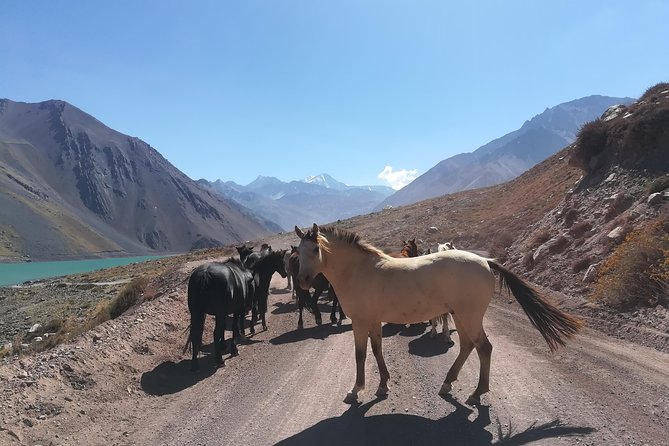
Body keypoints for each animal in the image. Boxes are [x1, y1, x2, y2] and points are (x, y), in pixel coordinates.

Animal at [292, 223, 580, 404]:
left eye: (315, 249)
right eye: (298, 252)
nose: (303, 281)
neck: (359, 270)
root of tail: (486, 262)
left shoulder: (361, 322)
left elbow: (361, 355)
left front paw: (356, 390)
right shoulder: (373, 321)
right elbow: (377, 351)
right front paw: (383, 385)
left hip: (469, 317)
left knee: (484, 348)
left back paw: (476, 393)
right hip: (461, 317)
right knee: (467, 346)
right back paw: (448, 383)